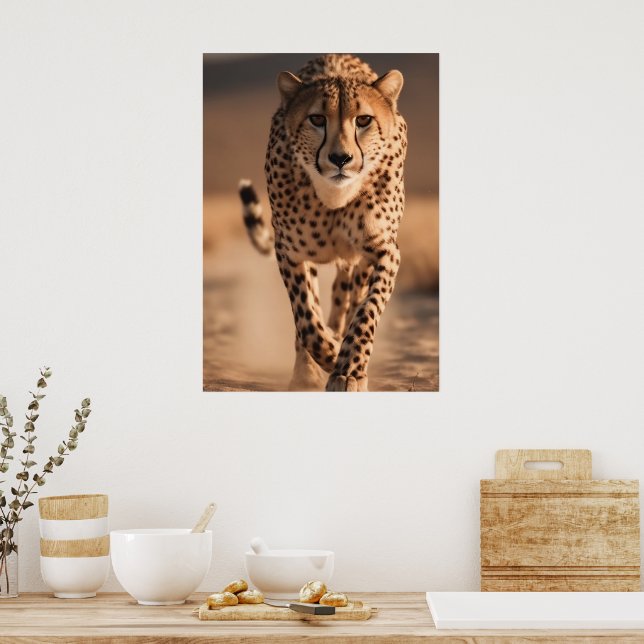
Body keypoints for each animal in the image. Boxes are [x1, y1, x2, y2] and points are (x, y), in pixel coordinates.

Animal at [239, 54, 407, 392]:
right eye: (317, 119)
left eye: (363, 120)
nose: (340, 158)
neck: (334, 198)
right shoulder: (290, 253)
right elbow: (306, 318)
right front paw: (328, 354)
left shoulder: (385, 252)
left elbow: (367, 310)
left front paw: (350, 369)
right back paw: (307, 370)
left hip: (356, 263)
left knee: (348, 298)